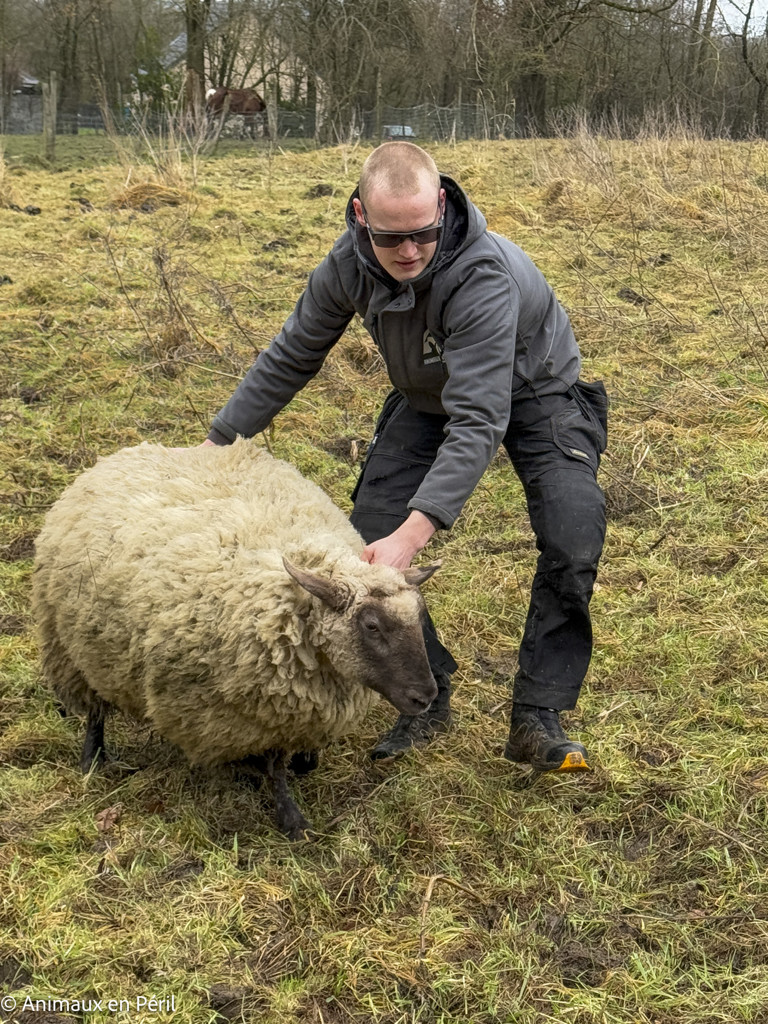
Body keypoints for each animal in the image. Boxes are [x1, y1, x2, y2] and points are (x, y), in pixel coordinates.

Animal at [32, 439, 439, 838]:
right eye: (371, 626)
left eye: (419, 616)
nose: (426, 696)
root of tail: (127, 452)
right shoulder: (264, 710)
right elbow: (275, 766)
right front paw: (292, 820)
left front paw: (304, 763)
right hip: (73, 646)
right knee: (94, 709)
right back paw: (93, 759)